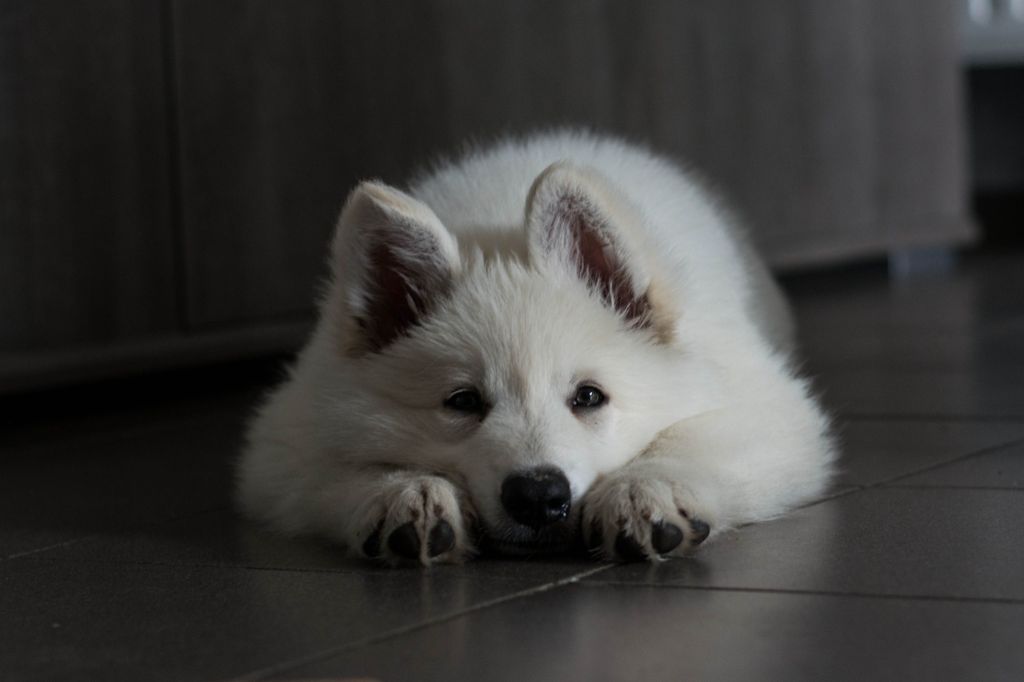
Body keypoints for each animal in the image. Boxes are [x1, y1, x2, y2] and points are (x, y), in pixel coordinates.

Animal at [236, 131, 835, 565]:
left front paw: (643, 491)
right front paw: (404, 493)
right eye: (463, 402)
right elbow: (333, 467)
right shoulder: (286, 439)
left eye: (589, 396)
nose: (538, 497)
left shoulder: (769, 408)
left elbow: (688, 437)